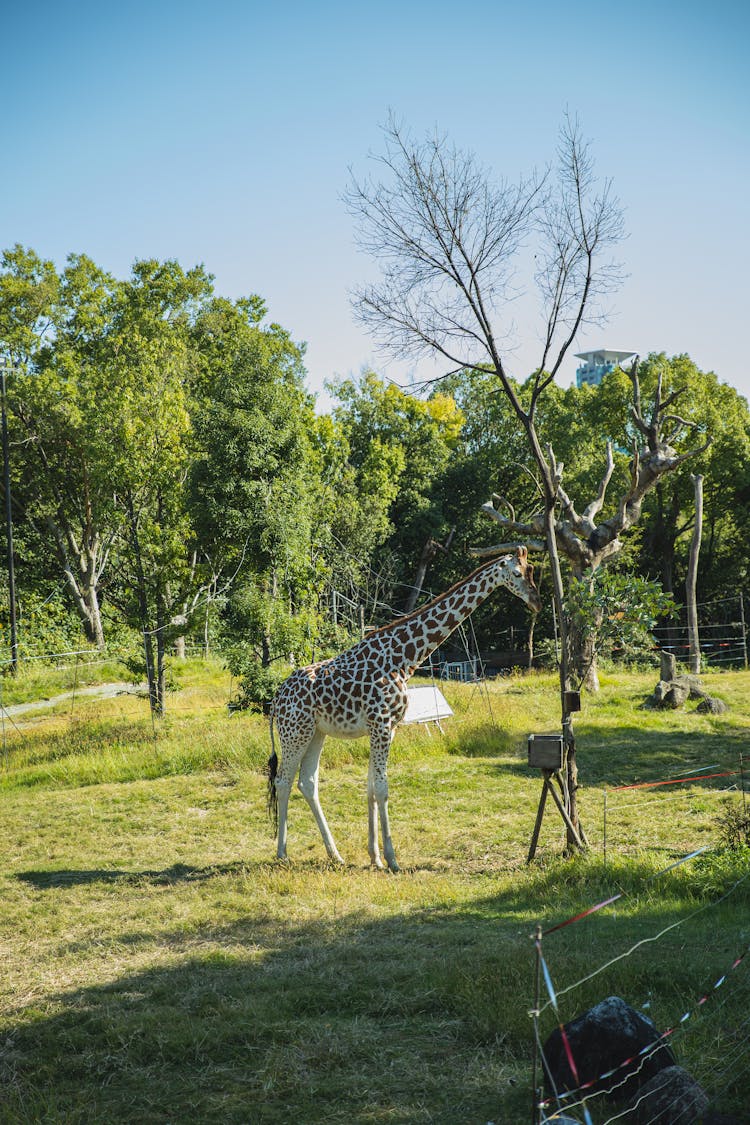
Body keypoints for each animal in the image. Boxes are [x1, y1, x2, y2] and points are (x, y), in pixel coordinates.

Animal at [265, 544, 539, 868]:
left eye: (532, 570)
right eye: (517, 573)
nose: (536, 602)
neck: (405, 659)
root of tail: (277, 698)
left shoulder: (387, 727)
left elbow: (371, 788)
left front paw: (375, 857)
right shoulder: (381, 724)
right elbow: (382, 789)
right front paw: (392, 859)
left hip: (316, 732)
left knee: (307, 783)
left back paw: (336, 855)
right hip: (294, 731)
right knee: (282, 780)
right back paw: (282, 853)